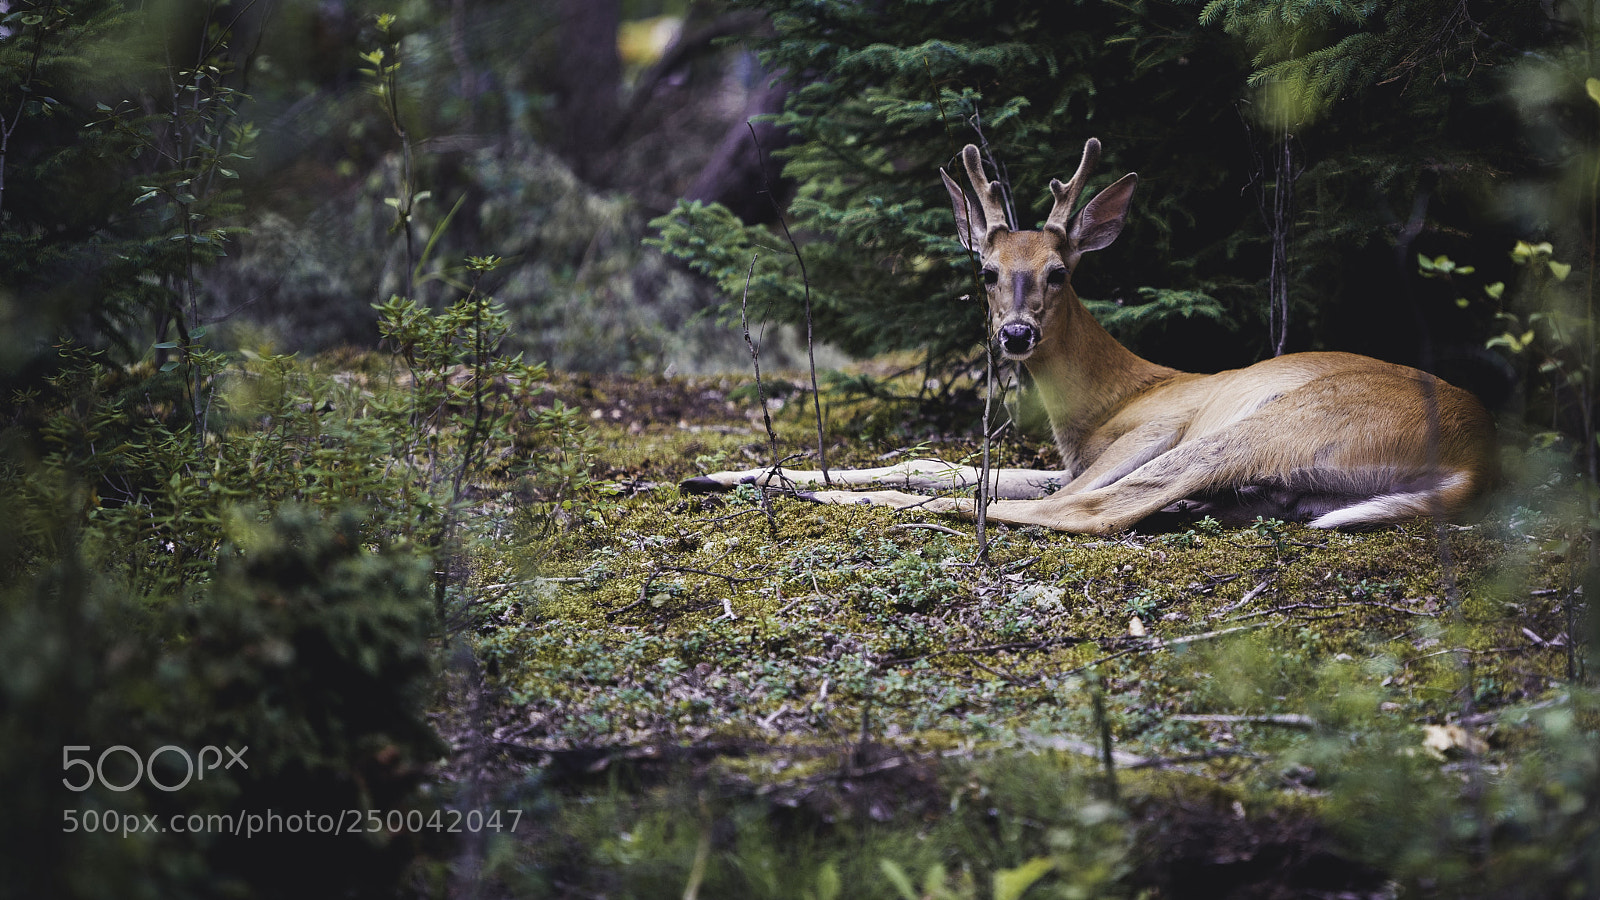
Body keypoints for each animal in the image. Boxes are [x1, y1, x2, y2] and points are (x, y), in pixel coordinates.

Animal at [681, 140, 1498, 534]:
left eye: (1057, 272)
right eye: (986, 271)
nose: (1015, 334)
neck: (1105, 403)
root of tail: (1479, 458)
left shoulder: (1157, 426)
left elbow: (1003, 486)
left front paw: (760, 483)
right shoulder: (1072, 457)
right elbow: (939, 462)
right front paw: (726, 472)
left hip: (1280, 423)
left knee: (1091, 511)